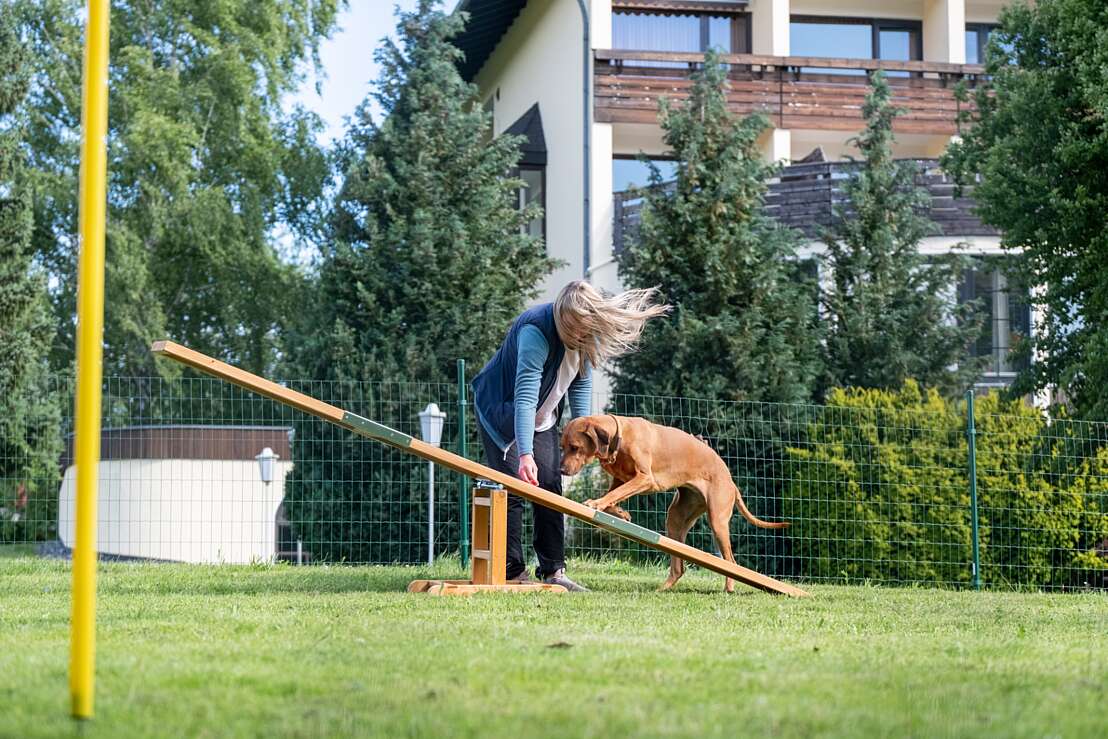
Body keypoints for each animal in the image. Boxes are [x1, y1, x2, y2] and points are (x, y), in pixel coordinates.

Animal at [562, 416, 788, 593]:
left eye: (575, 447)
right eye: (562, 447)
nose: (562, 470)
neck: (620, 437)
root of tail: (731, 481)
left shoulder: (645, 479)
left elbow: (615, 493)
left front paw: (597, 504)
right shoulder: (620, 479)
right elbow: (614, 494)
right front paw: (620, 513)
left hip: (717, 521)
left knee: (730, 561)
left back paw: (729, 589)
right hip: (676, 519)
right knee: (679, 567)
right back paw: (663, 589)